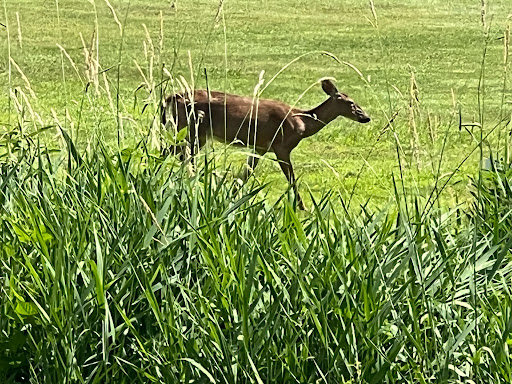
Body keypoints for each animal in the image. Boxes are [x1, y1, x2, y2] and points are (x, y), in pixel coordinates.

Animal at [162, 79, 370, 210]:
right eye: (351, 103)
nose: (366, 117)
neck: (302, 123)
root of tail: (172, 97)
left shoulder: (260, 147)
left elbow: (245, 175)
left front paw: (230, 196)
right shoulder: (282, 146)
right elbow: (291, 178)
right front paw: (303, 207)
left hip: (191, 131)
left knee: (173, 152)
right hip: (193, 129)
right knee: (177, 154)